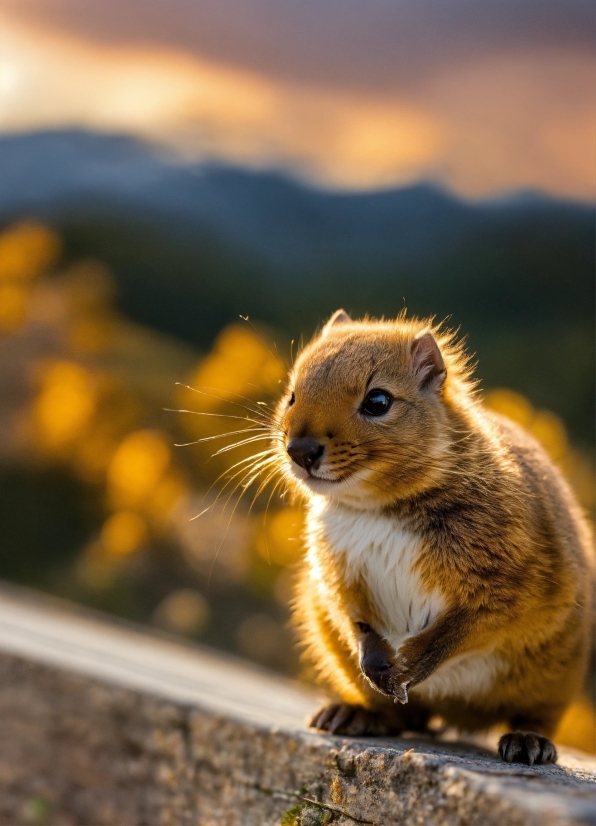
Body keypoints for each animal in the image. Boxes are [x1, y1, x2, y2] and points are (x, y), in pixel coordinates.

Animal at [272, 310, 592, 768]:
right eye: (293, 394)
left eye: (378, 401)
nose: (299, 450)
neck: (380, 509)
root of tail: (453, 713)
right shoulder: (339, 576)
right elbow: (354, 617)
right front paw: (376, 661)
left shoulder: (509, 581)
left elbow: (465, 627)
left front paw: (409, 666)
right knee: (404, 718)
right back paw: (354, 714)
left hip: (552, 676)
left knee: (535, 715)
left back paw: (529, 741)